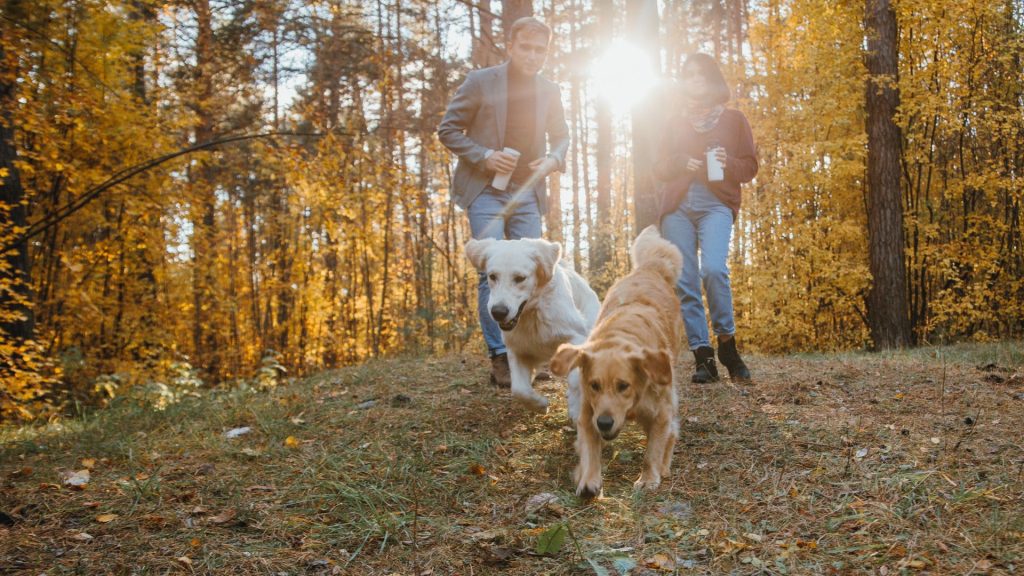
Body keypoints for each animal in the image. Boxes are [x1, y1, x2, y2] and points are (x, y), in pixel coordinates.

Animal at [464, 235, 598, 414]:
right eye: (492, 276)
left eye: (520, 278)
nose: (498, 312)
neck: (533, 313)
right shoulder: (516, 348)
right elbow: (519, 389)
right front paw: (540, 405)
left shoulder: (576, 338)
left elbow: (576, 380)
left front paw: (576, 409)